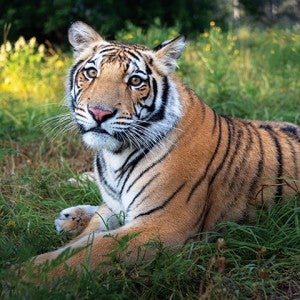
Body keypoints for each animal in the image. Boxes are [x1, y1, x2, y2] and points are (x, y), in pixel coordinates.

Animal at [31, 21, 298, 276]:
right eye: (91, 72)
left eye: (135, 81)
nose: (99, 112)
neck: (115, 155)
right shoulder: (114, 207)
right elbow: (85, 237)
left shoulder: (164, 223)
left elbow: (91, 250)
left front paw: (30, 274)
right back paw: (71, 217)